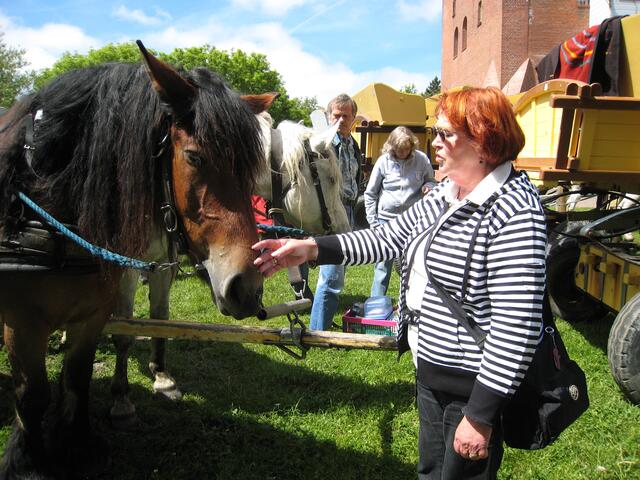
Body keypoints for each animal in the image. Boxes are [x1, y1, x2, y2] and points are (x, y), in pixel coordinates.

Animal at [0, 41, 270, 479]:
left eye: (250, 170)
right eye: (194, 157)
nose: (244, 287)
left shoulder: (99, 310)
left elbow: (79, 375)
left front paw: (79, 442)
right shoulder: (22, 322)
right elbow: (34, 395)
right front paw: (29, 461)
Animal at [108, 110, 352, 427]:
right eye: (331, 179)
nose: (345, 230)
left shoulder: (161, 260)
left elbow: (159, 317)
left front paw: (162, 379)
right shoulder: (126, 262)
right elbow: (124, 328)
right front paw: (121, 398)